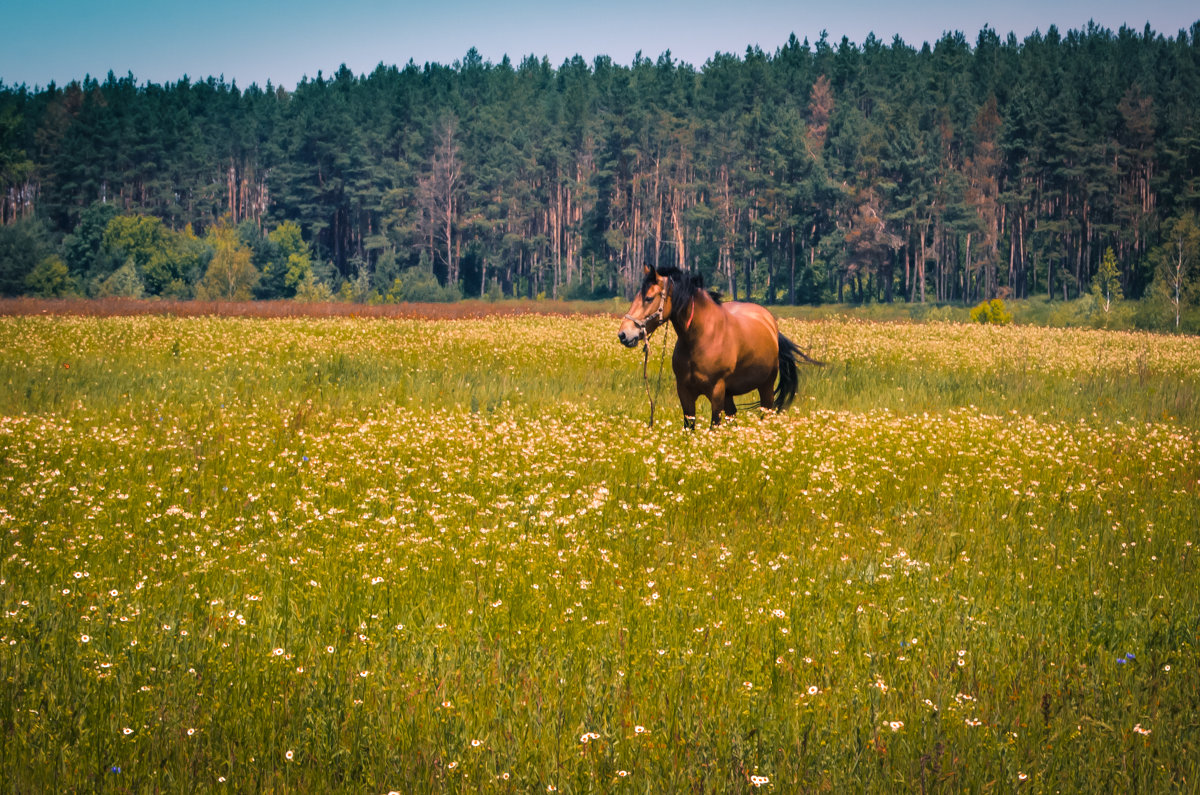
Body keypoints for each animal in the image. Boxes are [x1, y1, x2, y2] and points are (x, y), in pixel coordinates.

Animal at [619, 264, 825, 429]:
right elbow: (689, 427)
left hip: (765, 386)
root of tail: (771, 323)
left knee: (765, 413)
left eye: (648, 298)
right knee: (732, 417)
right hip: (730, 393)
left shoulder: (716, 391)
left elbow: (714, 426)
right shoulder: (684, 391)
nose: (624, 334)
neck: (700, 338)